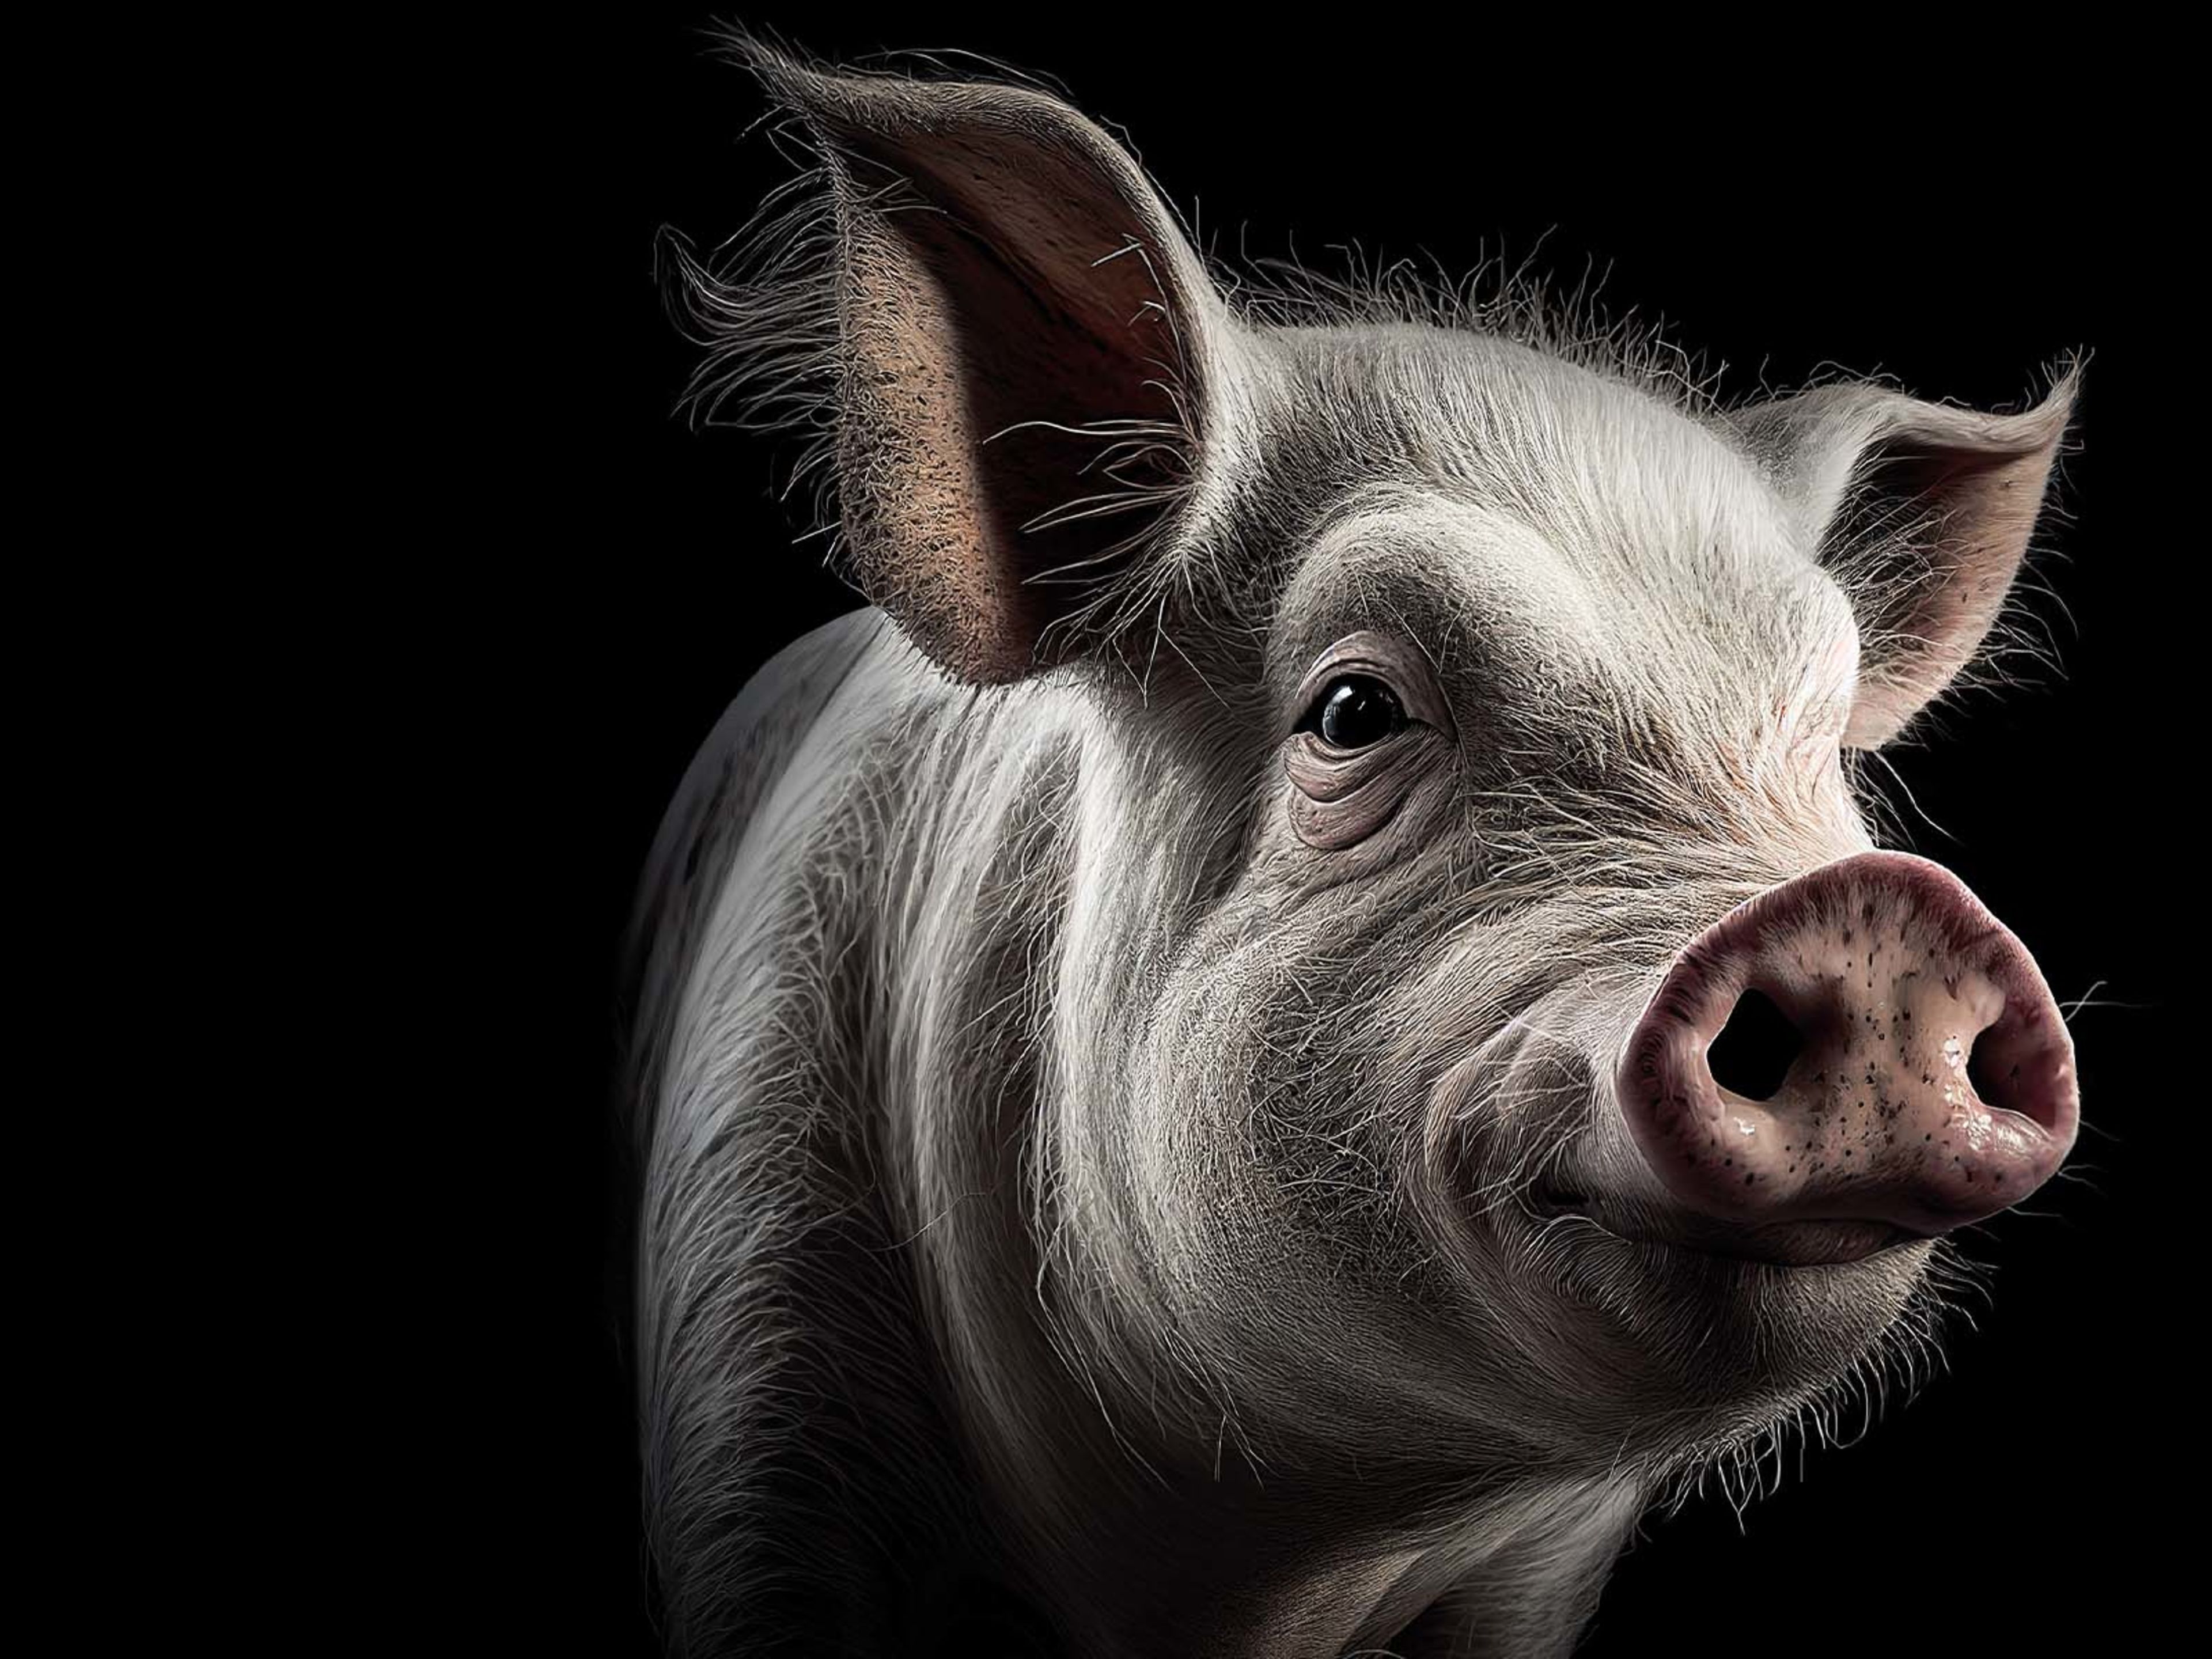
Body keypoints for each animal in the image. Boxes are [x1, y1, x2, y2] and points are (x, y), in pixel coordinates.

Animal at [622, 35, 2083, 1659]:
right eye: (1350, 711)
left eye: (1827, 751)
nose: (1873, 907)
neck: (1241, 1568)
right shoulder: (755, 1324)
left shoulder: (1535, 1566)